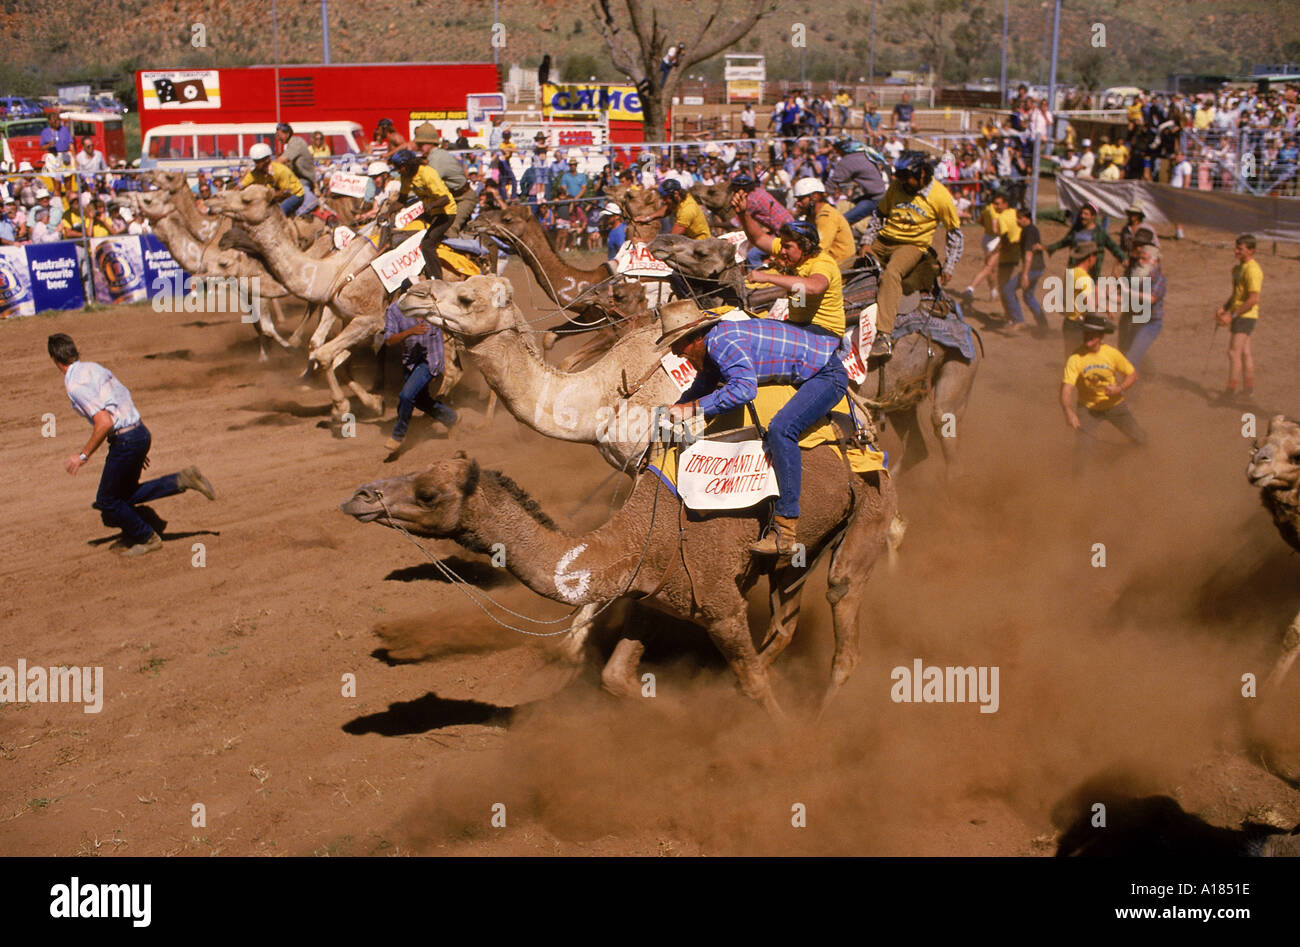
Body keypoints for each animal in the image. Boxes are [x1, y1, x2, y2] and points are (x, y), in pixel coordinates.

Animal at [340, 450, 899, 707]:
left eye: (429, 494)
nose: (360, 497)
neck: (637, 540)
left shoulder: (721, 608)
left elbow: (755, 684)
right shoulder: (650, 600)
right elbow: (614, 677)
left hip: (871, 508)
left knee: (842, 608)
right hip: (795, 554)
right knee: (786, 621)